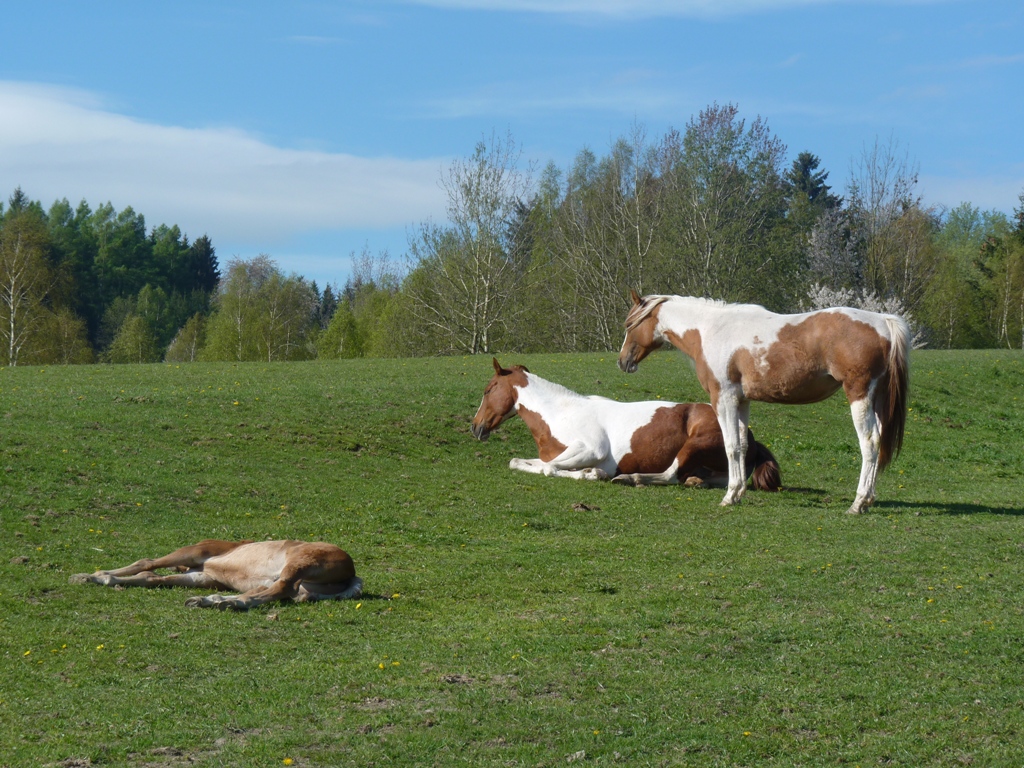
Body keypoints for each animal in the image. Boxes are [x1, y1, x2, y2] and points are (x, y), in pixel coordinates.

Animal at [69, 536, 364, 610]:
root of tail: (352, 573)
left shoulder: (196, 552)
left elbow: (147, 563)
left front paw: (93, 575)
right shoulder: (201, 576)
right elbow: (153, 578)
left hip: (298, 562)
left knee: (281, 588)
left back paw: (224, 603)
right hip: (304, 587)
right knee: (273, 592)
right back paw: (210, 601)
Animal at [473, 358, 782, 489]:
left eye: (488, 390)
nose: (476, 427)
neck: (560, 414)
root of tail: (751, 437)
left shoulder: (591, 450)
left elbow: (551, 469)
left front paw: (591, 474)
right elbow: (519, 462)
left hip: (694, 445)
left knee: (670, 475)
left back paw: (630, 478)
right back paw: (695, 481)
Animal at [618, 290, 909, 514]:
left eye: (629, 325)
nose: (623, 361)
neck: (712, 330)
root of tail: (883, 321)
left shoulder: (723, 397)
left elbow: (731, 446)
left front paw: (729, 496)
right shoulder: (741, 400)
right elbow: (743, 445)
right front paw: (737, 493)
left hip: (859, 395)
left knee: (869, 444)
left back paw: (858, 503)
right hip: (878, 400)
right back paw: (867, 500)